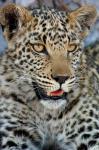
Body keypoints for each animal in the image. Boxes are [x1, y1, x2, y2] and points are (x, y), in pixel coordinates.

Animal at [0, 3, 98, 150]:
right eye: (38, 47)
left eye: (71, 48)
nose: (62, 78)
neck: (48, 115)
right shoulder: (13, 134)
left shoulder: (90, 133)